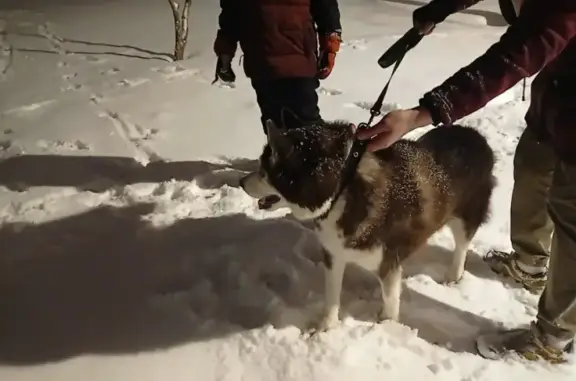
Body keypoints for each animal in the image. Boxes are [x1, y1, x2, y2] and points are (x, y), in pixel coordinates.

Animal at [238, 111, 496, 332]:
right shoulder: (333, 253)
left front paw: (386, 326)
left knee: (461, 246)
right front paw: (325, 326)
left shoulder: (387, 261)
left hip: (466, 216)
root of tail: (475, 135)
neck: (343, 188)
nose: (241, 182)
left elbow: (390, 300)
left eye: (264, 170)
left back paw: (454, 275)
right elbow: (332, 295)